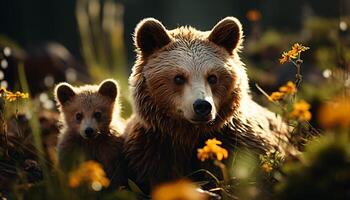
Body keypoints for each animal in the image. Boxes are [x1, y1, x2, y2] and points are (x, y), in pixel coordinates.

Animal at [123, 16, 296, 192]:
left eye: (212, 77)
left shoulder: (238, 141)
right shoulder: (154, 148)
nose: (202, 106)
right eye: (178, 78)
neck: (188, 134)